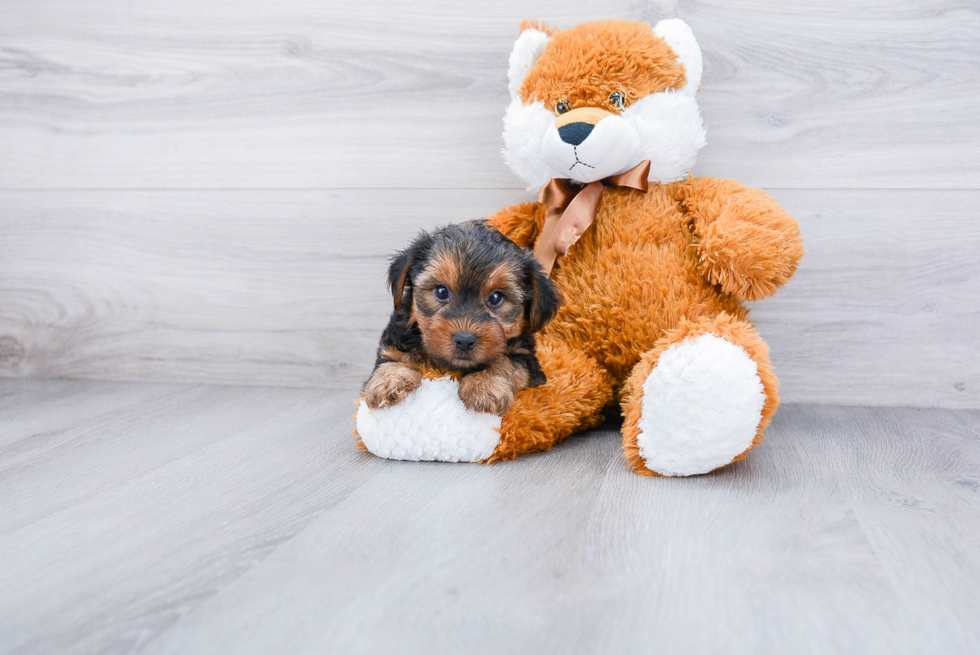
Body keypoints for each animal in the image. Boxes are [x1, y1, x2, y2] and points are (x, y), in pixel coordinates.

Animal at [360, 219, 560, 416]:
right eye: (441, 291)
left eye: (496, 297)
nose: (465, 340)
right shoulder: (397, 337)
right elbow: (391, 357)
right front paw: (389, 381)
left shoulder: (527, 358)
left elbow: (506, 360)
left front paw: (484, 384)